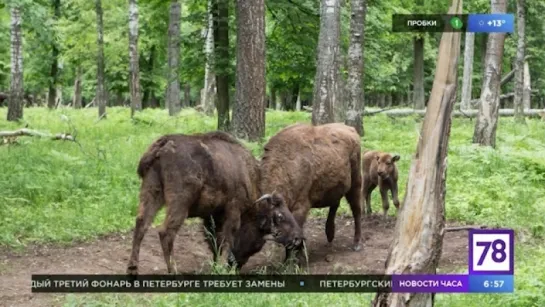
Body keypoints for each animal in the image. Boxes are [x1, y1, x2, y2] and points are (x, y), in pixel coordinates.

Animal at [127, 131, 306, 276]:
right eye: (279, 215)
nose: (298, 238)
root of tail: (163, 144)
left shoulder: (211, 217)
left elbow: (215, 241)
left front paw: (215, 266)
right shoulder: (232, 211)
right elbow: (225, 239)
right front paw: (220, 267)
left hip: (151, 191)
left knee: (141, 224)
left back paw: (132, 269)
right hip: (180, 202)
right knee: (166, 232)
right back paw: (173, 271)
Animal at [258, 122, 362, 262]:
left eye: (280, 216)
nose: (295, 239)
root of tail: (351, 129)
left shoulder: (301, 207)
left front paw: (294, 260)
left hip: (355, 184)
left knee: (357, 211)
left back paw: (356, 244)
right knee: (334, 205)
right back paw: (330, 235)